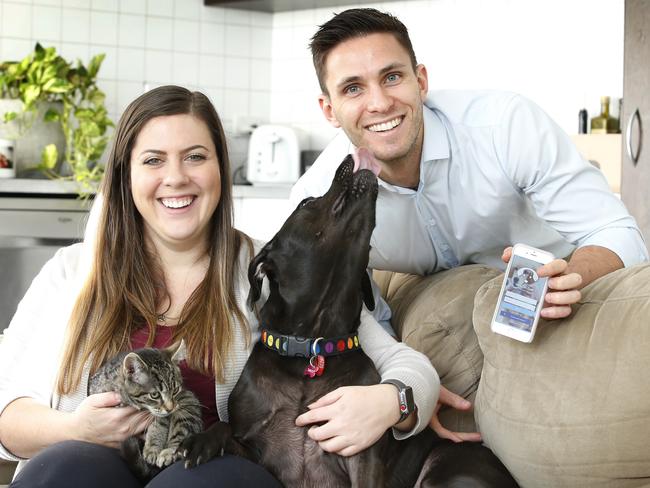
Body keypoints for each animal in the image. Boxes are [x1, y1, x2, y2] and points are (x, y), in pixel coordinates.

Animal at [87, 346, 201, 480]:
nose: (170, 408)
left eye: (175, 390)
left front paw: (152, 448)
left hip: (187, 402)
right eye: (155, 395)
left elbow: (159, 424)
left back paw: (168, 452)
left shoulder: (164, 412)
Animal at [180, 152, 512, 484]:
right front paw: (201, 440)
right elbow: (227, 429)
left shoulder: (362, 454)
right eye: (306, 203)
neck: (312, 347)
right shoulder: (260, 453)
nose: (349, 158)